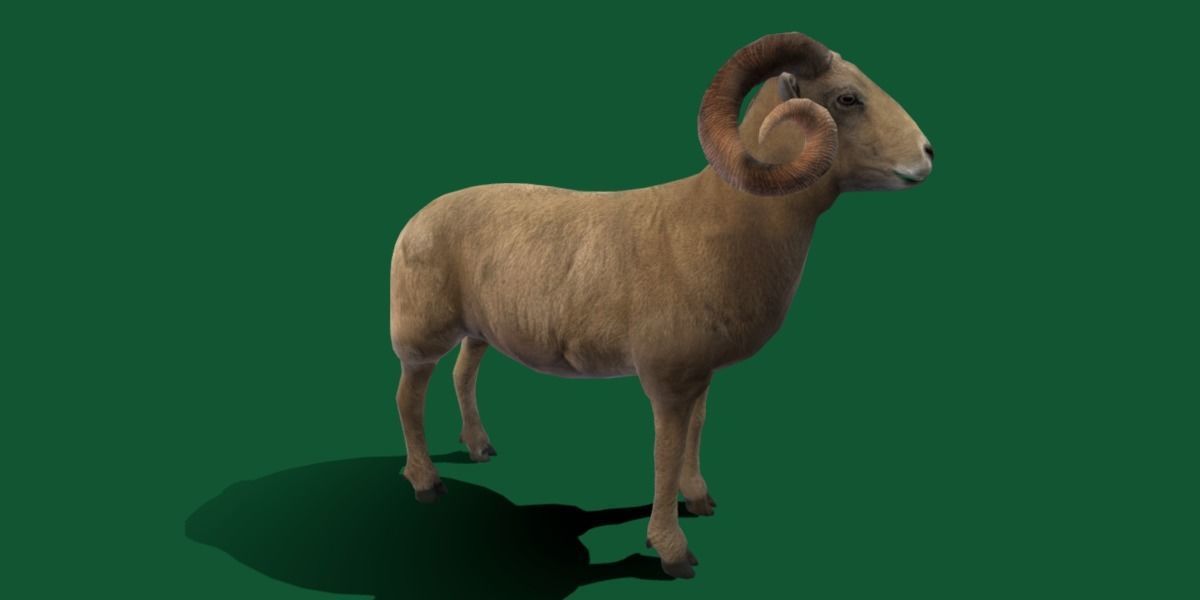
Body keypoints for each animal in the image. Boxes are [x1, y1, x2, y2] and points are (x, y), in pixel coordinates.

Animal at [389, 32, 933, 579]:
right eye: (847, 98)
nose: (927, 154)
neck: (721, 221)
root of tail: (418, 218)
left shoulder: (700, 375)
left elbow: (695, 432)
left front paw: (699, 500)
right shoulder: (667, 380)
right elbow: (664, 456)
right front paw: (673, 552)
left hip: (478, 330)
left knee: (463, 375)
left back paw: (480, 447)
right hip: (420, 334)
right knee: (408, 398)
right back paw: (426, 483)